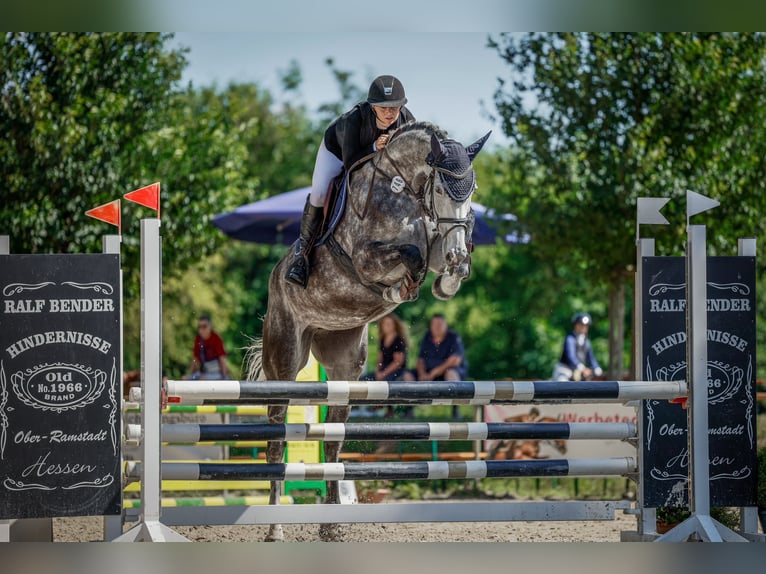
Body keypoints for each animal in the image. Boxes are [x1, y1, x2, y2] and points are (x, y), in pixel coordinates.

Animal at [246, 122, 492, 544]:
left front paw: (449, 279)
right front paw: (404, 288)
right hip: (285, 361)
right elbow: (409, 256)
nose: (458, 258)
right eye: (441, 191)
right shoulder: (364, 259)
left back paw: (329, 526)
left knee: (332, 447)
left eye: (472, 192)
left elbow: (430, 255)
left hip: (343, 367)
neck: (404, 191)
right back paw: (275, 529)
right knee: (276, 442)